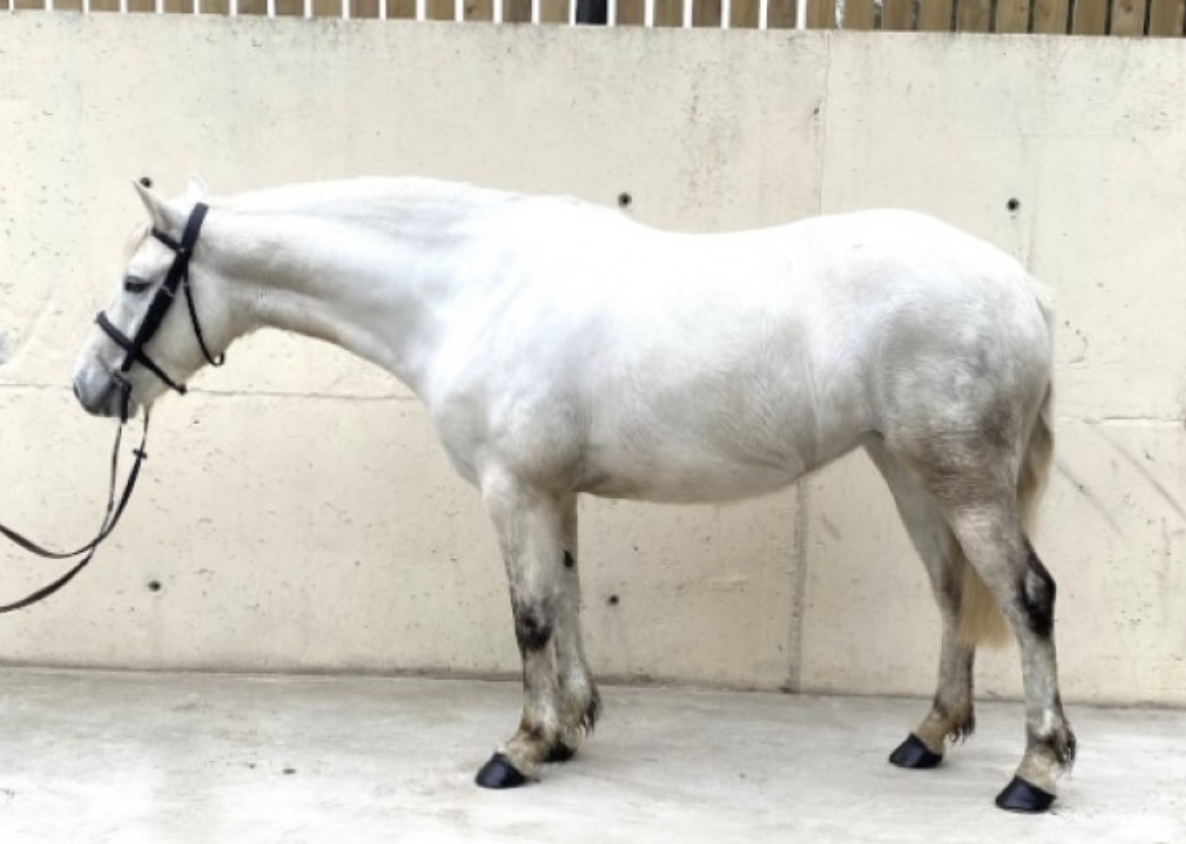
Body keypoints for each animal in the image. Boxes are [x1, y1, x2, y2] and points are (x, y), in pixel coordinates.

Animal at [72, 176, 1076, 813]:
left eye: (134, 281)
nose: (89, 389)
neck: (468, 290)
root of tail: (1021, 286)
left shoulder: (510, 487)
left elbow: (529, 618)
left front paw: (518, 750)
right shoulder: (551, 492)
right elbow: (566, 598)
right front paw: (569, 731)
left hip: (958, 473)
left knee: (1025, 595)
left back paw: (1035, 771)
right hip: (908, 470)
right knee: (953, 591)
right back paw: (929, 735)